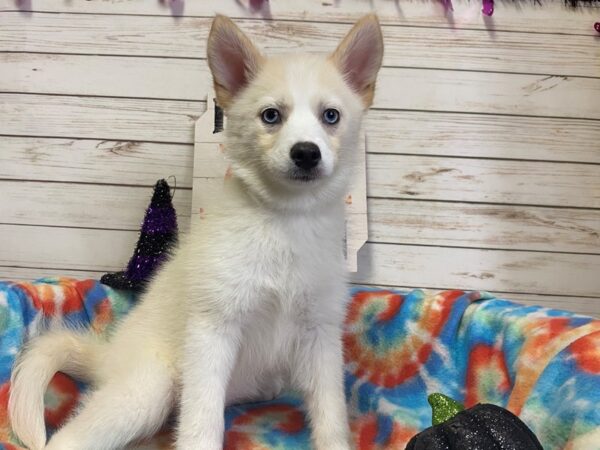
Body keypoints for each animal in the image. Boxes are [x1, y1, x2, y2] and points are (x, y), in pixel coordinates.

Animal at [8, 13, 384, 450]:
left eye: (331, 116)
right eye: (271, 116)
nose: (306, 153)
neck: (284, 221)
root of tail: (109, 354)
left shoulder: (320, 335)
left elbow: (331, 417)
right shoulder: (212, 331)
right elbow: (201, 421)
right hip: (147, 390)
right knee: (70, 439)